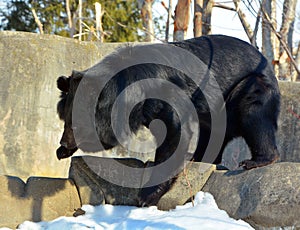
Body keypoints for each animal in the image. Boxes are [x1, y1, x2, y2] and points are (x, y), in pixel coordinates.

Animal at [56, 35, 282, 205]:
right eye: (65, 119)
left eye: (77, 123)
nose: (63, 144)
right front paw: (63, 151)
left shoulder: (166, 93)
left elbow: (175, 133)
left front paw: (147, 196)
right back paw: (201, 159)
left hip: (249, 88)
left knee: (254, 116)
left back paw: (255, 161)